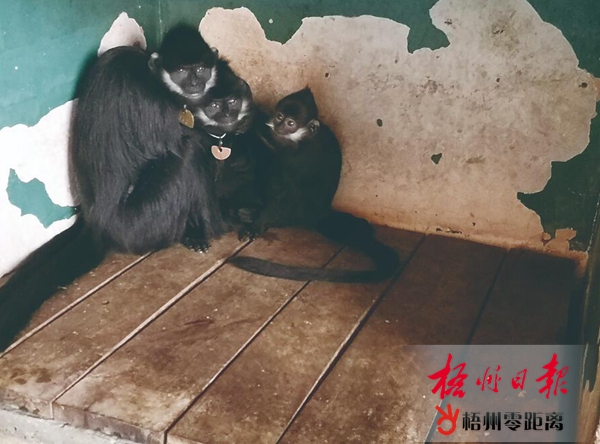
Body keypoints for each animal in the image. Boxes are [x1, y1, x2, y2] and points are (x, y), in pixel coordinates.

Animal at [0, 25, 227, 350]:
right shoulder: (155, 102)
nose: (196, 83)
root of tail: (97, 224)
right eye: (183, 71)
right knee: (189, 151)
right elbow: (193, 139)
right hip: (143, 224)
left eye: (200, 69)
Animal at [227, 88, 401, 283]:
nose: (280, 127)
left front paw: (256, 226)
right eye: (279, 116)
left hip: (297, 209)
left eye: (290, 123)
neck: (301, 139)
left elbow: (287, 184)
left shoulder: (302, 152)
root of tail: (318, 214)